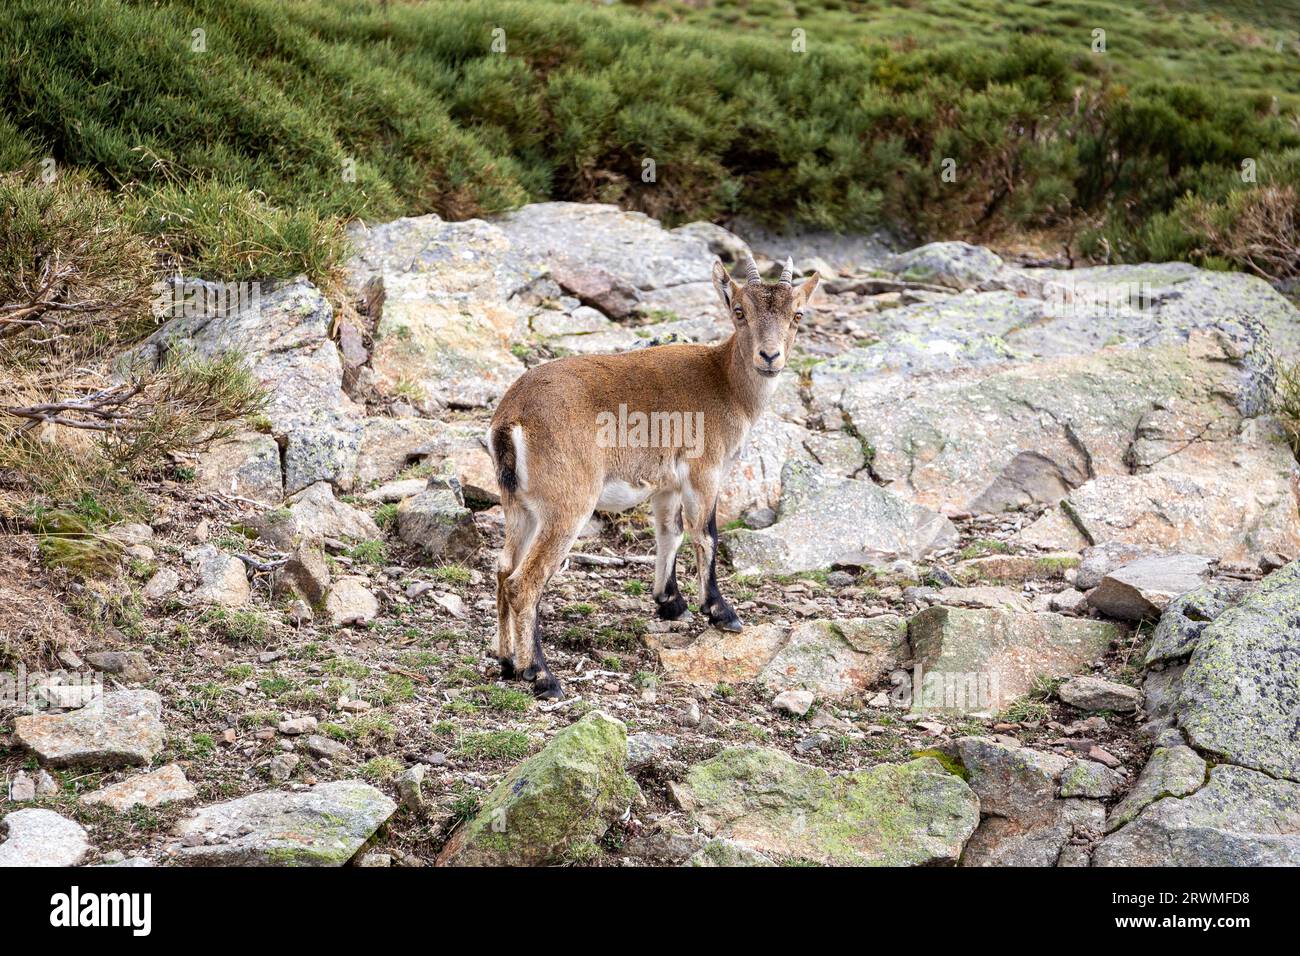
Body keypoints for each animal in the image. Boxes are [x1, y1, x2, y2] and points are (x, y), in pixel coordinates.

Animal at [488, 253, 820, 697]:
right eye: (739, 311)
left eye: (797, 314)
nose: (770, 357)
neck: (724, 382)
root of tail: (512, 419)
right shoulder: (704, 472)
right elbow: (705, 533)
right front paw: (721, 612)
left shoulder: (667, 485)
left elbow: (670, 532)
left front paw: (671, 602)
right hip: (567, 506)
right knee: (524, 583)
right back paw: (542, 676)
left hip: (519, 506)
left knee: (503, 568)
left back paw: (508, 662)